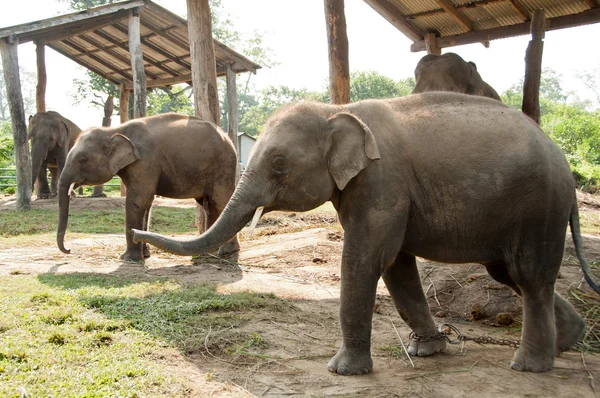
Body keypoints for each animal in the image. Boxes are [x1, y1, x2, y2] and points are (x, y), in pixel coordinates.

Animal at [55, 112, 239, 262]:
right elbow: (147, 203)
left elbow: (137, 201)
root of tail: (227, 137)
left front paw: (128, 259)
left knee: (221, 201)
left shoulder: (144, 162)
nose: (69, 250)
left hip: (224, 167)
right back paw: (211, 252)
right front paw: (145, 255)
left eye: (82, 160)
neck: (114, 130)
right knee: (209, 205)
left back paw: (226, 252)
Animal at [131, 93, 600, 376]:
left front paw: (342, 370)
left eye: (279, 164)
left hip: (539, 208)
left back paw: (529, 366)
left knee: (528, 276)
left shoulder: (382, 181)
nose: (137, 231)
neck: (336, 107)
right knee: (509, 273)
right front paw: (427, 352)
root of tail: (560, 156)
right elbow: (396, 265)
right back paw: (569, 342)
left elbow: (366, 258)